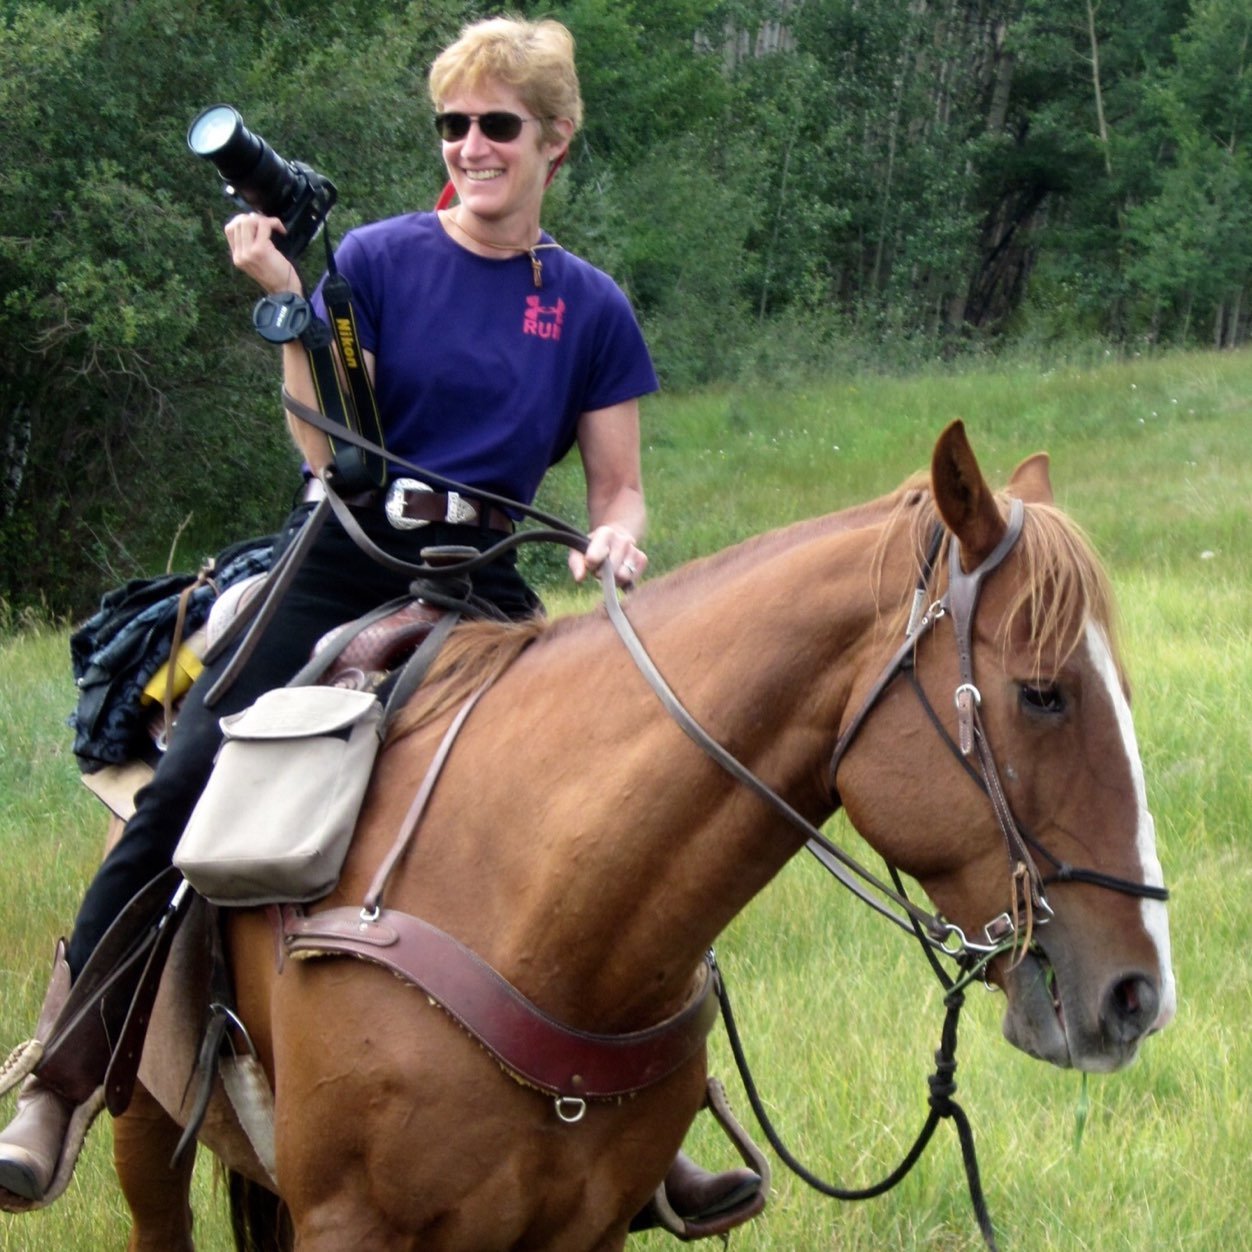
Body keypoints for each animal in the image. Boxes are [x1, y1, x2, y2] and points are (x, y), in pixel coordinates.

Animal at [110, 425, 1171, 1246]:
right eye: (1042, 694)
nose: (1139, 994)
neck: (530, 908)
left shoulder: (583, 1232)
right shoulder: (351, 1226)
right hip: (143, 1131)